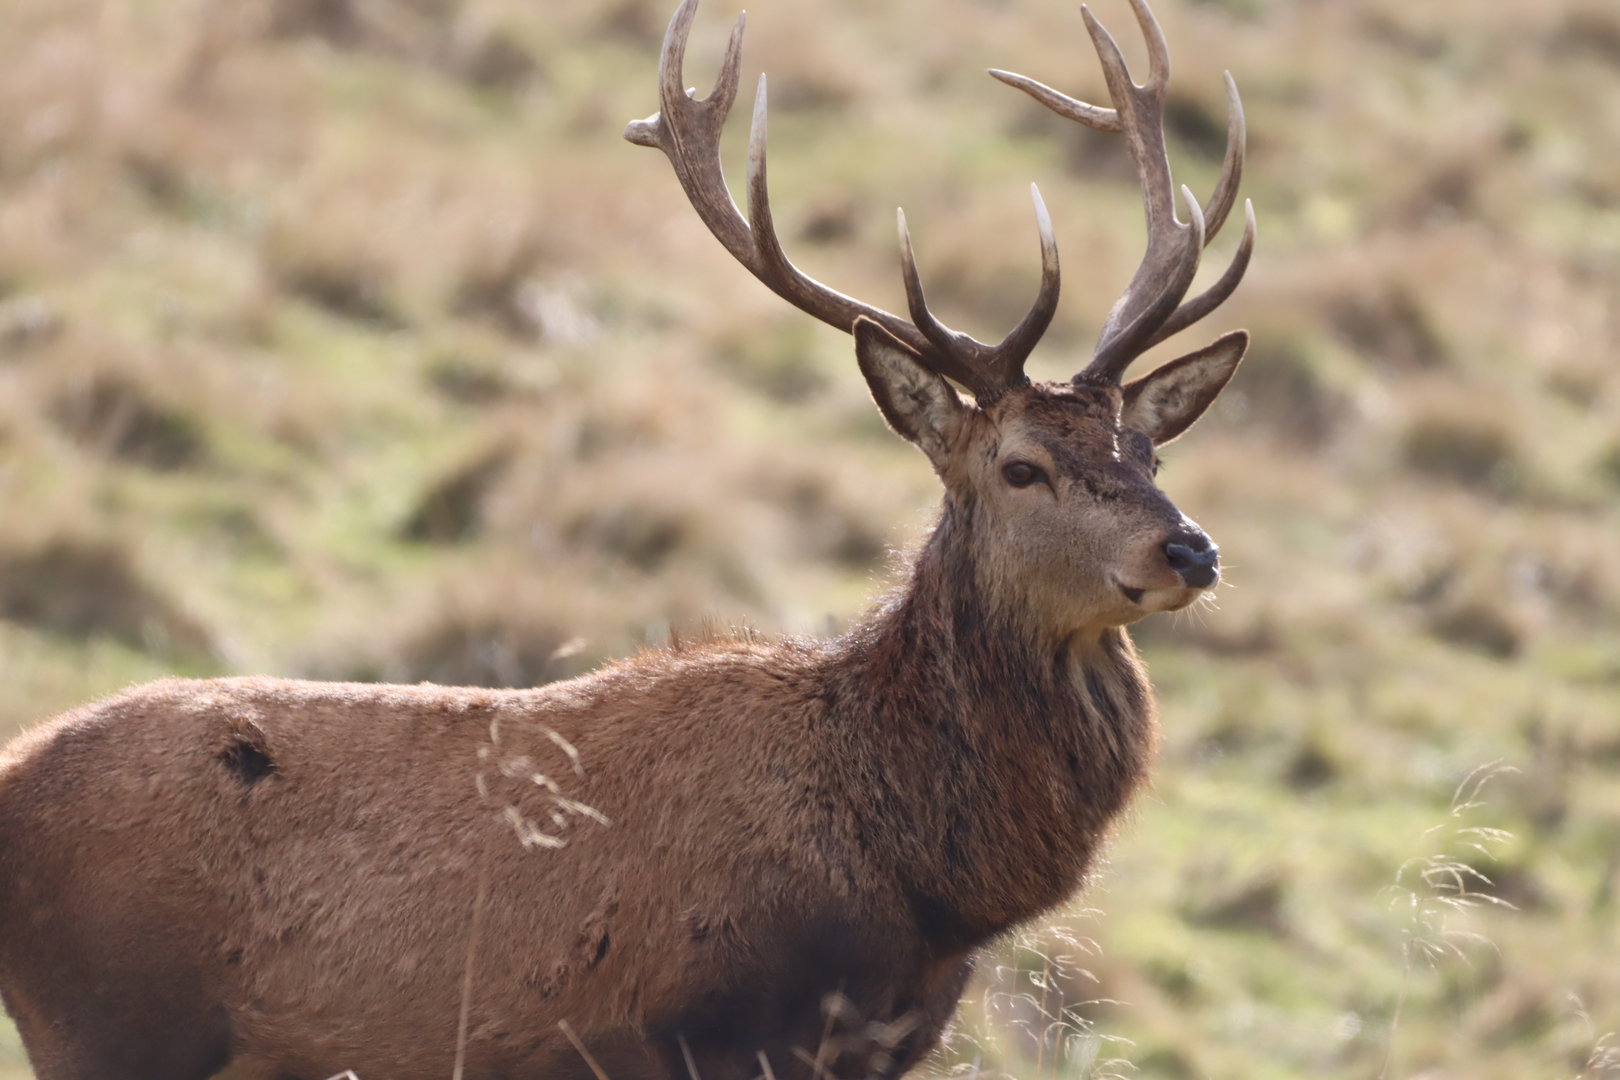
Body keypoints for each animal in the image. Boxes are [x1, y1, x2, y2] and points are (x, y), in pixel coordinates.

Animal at [0, 1, 1254, 1077]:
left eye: (1149, 454)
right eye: (1021, 467)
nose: (1190, 551)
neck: (924, 885)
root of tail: (11, 772)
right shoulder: (694, 1033)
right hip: (112, 1025)